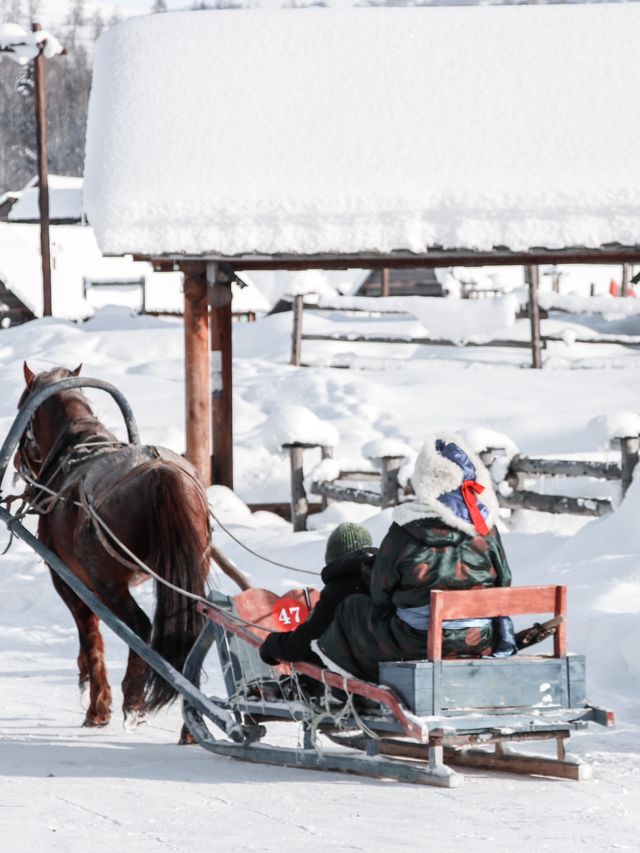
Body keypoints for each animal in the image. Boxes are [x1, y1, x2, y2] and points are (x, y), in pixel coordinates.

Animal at [16, 362, 248, 728]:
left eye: (21, 405)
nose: (15, 463)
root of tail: (160, 472)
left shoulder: (68, 578)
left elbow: (90, 635)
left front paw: (97, 706)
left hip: (107, 581)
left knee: (139, 628)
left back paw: (136, 700)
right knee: (190, 639)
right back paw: (189, 725)